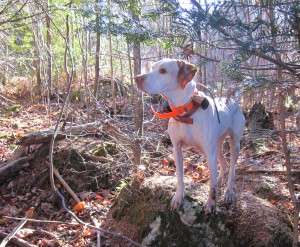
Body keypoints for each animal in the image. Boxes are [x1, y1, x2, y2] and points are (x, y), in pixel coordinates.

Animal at [135, 58, 245, 212]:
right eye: (152, 68)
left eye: (163, 71)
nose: (137, 78)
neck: (184, 111)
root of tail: (233, 100)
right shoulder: (177, 149)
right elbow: (180, 177)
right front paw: (178, 197)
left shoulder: (210, 153)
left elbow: (212, 185)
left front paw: (211, 203)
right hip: (216, 146)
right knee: (223, 164)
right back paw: (219, 182)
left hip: (234, 144)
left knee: (232, 169)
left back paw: (229, 192)